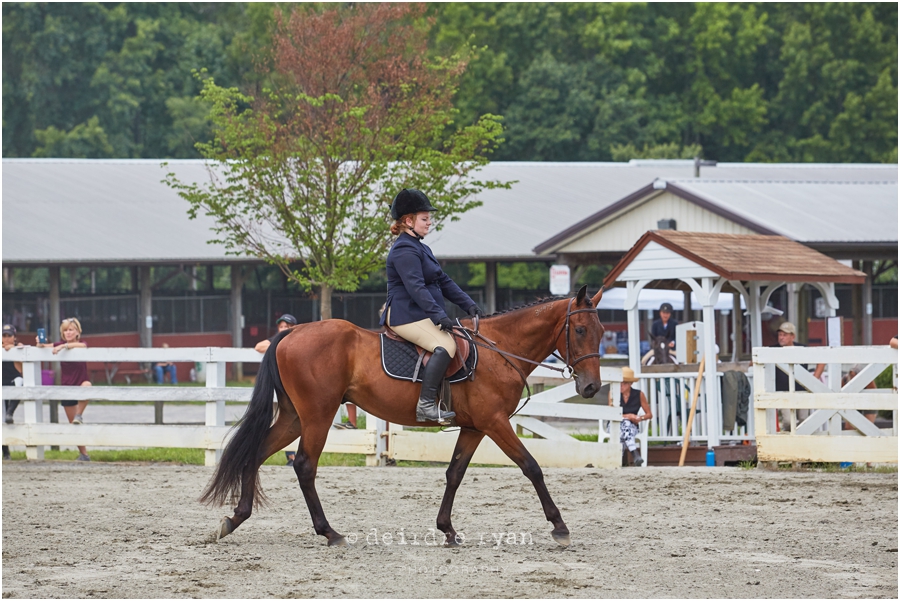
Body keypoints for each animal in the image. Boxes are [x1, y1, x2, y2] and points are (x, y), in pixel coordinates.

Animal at [203, 284, 604, 548]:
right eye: (580, 329)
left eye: (601, 331)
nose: (590, 388)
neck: (498, 351)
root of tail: (291, 334)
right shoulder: (495, 422)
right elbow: (531, 466)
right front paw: (559, 526)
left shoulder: (475, 427)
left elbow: (454, 473)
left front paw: (447, 530)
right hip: (317, 415)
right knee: (304, 465)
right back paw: (329, 532)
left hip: (293, 417)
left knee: (256, 453)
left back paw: (234, 519)